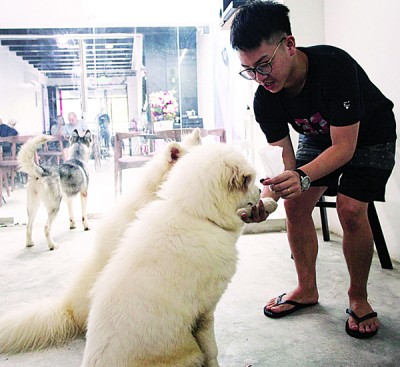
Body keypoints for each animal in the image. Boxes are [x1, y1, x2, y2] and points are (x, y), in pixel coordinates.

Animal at [81, 144, 276, 367]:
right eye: (248, 180)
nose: (260, 189)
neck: (194, 214)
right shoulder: (205, 313)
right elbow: (212, 351)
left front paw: (269, 202)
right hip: (190, 353)